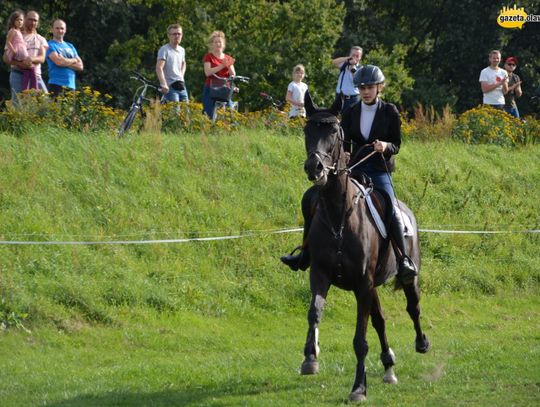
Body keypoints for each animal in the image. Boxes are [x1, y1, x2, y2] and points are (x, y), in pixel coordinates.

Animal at [300, 94, 430, 404]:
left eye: (335, 132)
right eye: (307, 130)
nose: (315, 168)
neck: (339, 216)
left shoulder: (362, 284)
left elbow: (360, 339)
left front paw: (358, 388)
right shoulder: (321, 275)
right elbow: (315, 313)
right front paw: (310, 358)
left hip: (403, 276)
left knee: (413, 307)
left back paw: (421, 343)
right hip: (372, 287)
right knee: (380, 321)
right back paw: (389, 366)